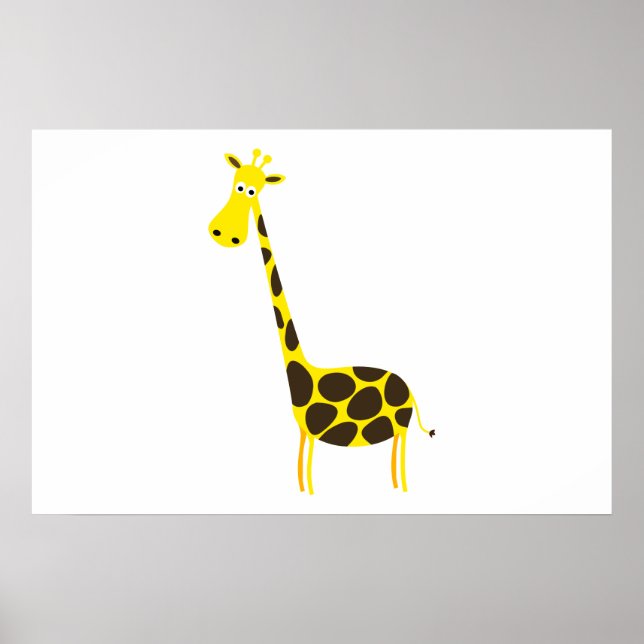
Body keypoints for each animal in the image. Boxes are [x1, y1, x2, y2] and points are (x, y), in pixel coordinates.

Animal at [208, 149, 435, 494]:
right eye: (236, 183)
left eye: (250, 190)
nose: (224, 234)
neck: (302, 373)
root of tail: (411, 393)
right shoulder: (304, 434)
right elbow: (302, 476)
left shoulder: (314, 435)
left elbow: (308, 476)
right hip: (397, 431)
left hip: (400, 431)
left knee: (400, 464)